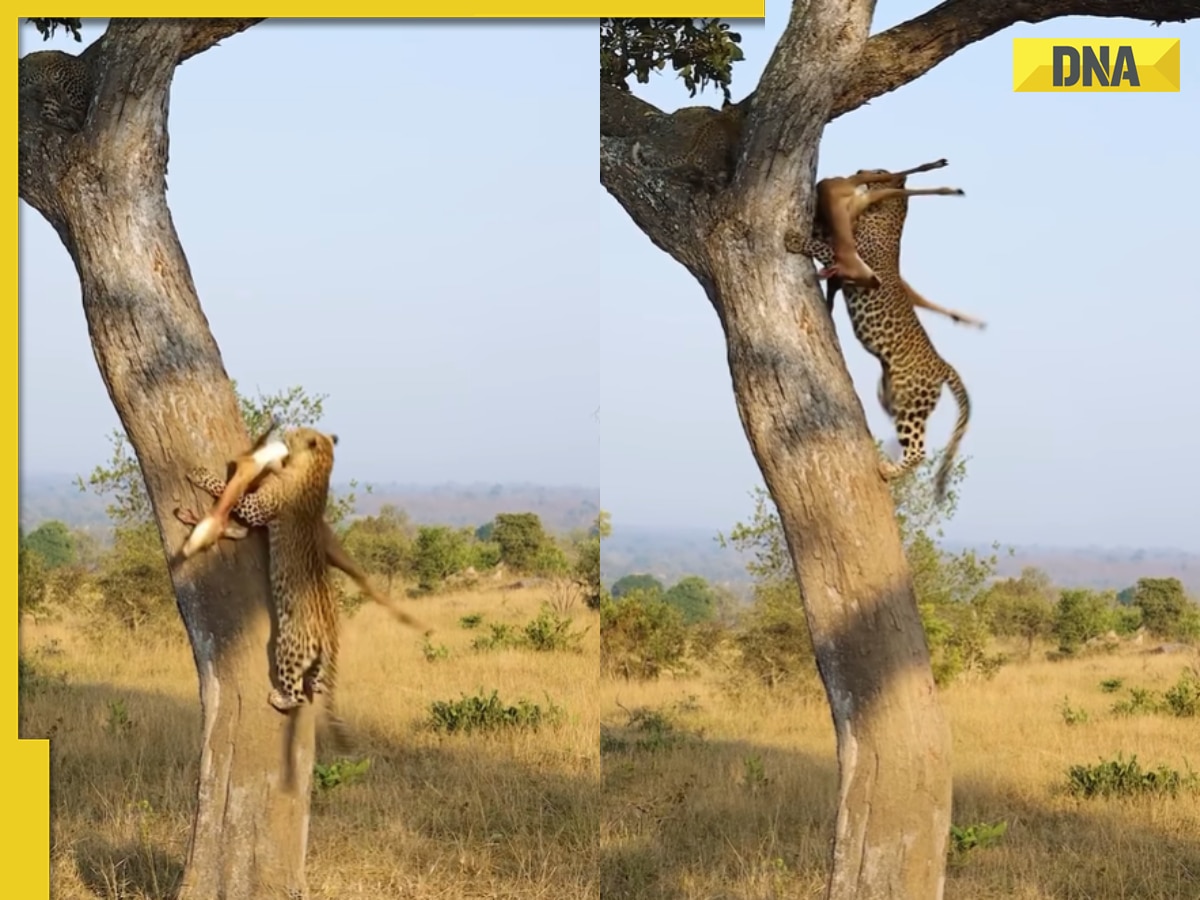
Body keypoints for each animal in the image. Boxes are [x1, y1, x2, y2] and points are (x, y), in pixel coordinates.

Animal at [178, 429, 350, 748]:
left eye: (299, 433)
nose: (287, 431)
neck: (316, 471)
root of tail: (331, 635)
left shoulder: (256, 509)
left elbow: (228, 491)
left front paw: (199, 474)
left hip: (289, 648)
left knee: (298, 694)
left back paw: (279, 698)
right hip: (314, 664)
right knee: (316, 687)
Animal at [787, 170, 974, 508]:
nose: (856, 172)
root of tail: (943, 366)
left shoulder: (848, 258)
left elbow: (820, 246)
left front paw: (794, 240)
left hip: (912, 402)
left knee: (919, 450)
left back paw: (888, 470)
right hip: (896, 397)